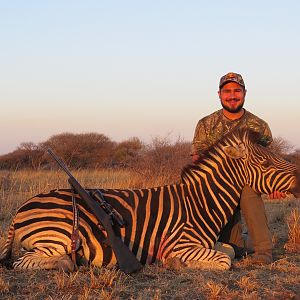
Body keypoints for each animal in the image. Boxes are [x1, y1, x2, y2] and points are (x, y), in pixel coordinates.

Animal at [0, 129, 296, 272]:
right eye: (266, 163)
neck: (201, 202)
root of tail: (21, 209)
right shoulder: (182, 244)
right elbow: (224, 261)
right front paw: (176, 264)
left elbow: (230, 252)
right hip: (58, 235)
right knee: (22, 262)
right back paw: (67, 263)